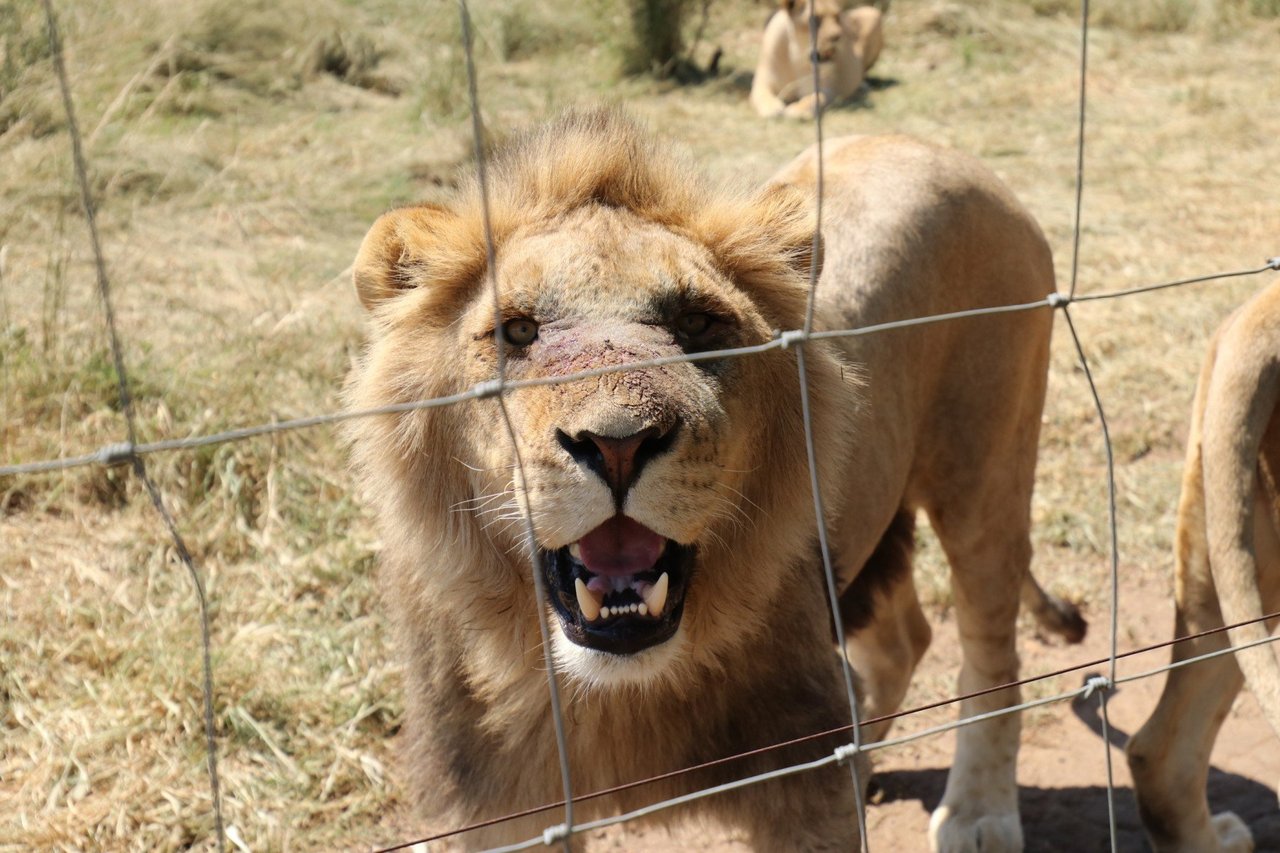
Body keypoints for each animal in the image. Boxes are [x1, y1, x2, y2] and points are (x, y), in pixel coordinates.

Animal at [348, 109, 1070, 845]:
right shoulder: (493, 807)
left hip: (983, 474)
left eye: (696, 323)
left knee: (992, 653)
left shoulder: (803, 776)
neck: (616, 693)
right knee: (903, 643)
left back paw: (977, 814)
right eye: (517, 331)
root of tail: (933, 148)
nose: (617, 444)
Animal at [747, 0, 880, 120]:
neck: (795, 58)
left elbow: (815, 98)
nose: (838, 36)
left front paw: (796, 110)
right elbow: (760, 95)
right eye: (815, 19)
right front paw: (771, 108)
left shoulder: (827, 89)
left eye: (837, 17)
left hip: (872, 13)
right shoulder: (762, 82)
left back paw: (863, 86)